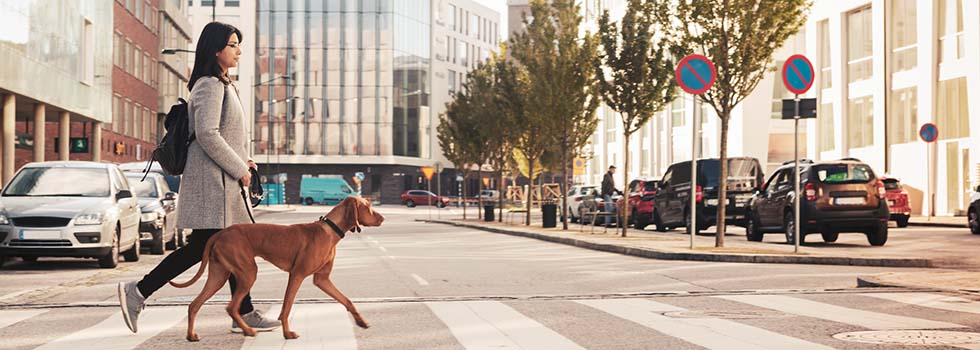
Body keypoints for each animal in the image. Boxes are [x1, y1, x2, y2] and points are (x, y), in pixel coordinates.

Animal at [168, 197, 382, 342]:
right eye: (368, 207)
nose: (383, 218)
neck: (329, 230)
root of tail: (220, 233)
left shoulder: (322, 279)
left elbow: (347, 300)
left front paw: (361, 322)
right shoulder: (297, 275)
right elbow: (286, 307)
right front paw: (287, 333)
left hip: (219, 275)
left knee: (194, 304)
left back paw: (191, 335)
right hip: (248, 273)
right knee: (230, 307)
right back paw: (248, 331)